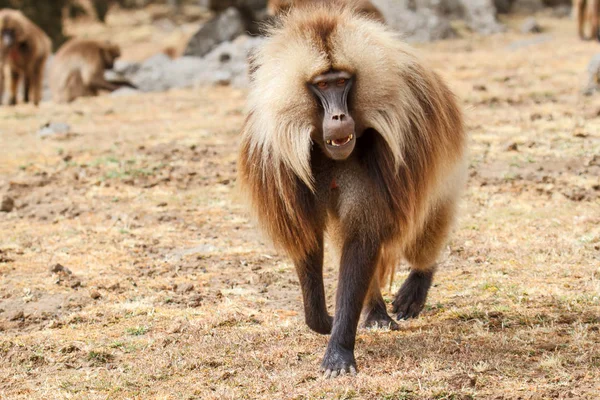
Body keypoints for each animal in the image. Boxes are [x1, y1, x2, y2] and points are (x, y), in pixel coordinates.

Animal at [237, 1, 466, 376]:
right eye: (321, 85)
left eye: (343, 82)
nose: (339, 118)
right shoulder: (287, 169)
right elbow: (311, 238)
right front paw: (324, 321)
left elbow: (362, 239)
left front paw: (338, 352)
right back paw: (375, 311)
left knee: (432, 216)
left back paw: (418, 282)